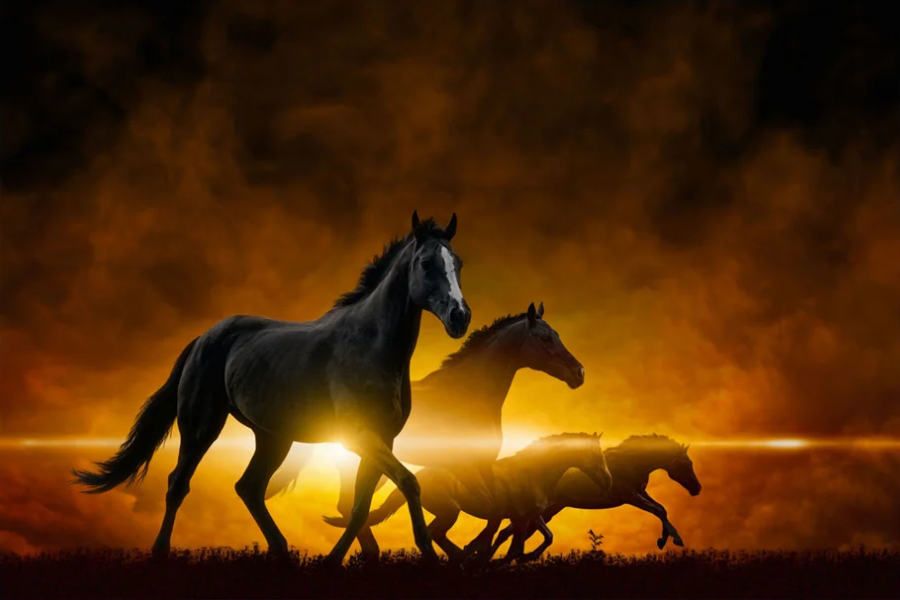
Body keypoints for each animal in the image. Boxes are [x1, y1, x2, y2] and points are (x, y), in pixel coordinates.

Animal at [71, 211, 472, 567]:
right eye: (425, 263)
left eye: (458, 263)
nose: (460, 317)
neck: (370, 346)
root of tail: (205, 337)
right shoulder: (359, 436)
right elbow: (406, 483)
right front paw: (427, 554)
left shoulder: (381, 439)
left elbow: (360, 507)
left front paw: (338, 561)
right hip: (201, 428)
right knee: (178, 483)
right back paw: (160, 552)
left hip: (273, 437)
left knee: (248, 487)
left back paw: (281, 550)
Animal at [266, 301, 586, 559]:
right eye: (545, 337)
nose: (579, 373)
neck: (467, 396)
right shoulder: (465, 467)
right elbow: (491, 512)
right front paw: (473, 552)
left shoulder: (482, 464)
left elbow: (495, 512)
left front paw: (477, 552)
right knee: (350, 505)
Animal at [322, 432, 612, 565]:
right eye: (597, 456)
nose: (608, 482)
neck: (532, 472)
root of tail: (418, 477)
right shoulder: (520, 517)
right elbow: (514, 546)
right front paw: (496, 561)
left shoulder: (530, 515)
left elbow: (546, 537)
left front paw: (519, 558)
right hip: (450, 511)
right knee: (434, 533)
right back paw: (460, 557)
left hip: (447, 512)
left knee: (434, 533)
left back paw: (460, 556)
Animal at [489, 434, 702, 561]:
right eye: (685, 463)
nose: (697, 489)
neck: (631, 462)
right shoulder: (630, 496)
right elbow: (658, 510)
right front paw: (673, 539)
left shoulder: (641, 493)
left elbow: (662, 509)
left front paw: (665, 540)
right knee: (508, 533)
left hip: (548, 511)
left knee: (509, 533)